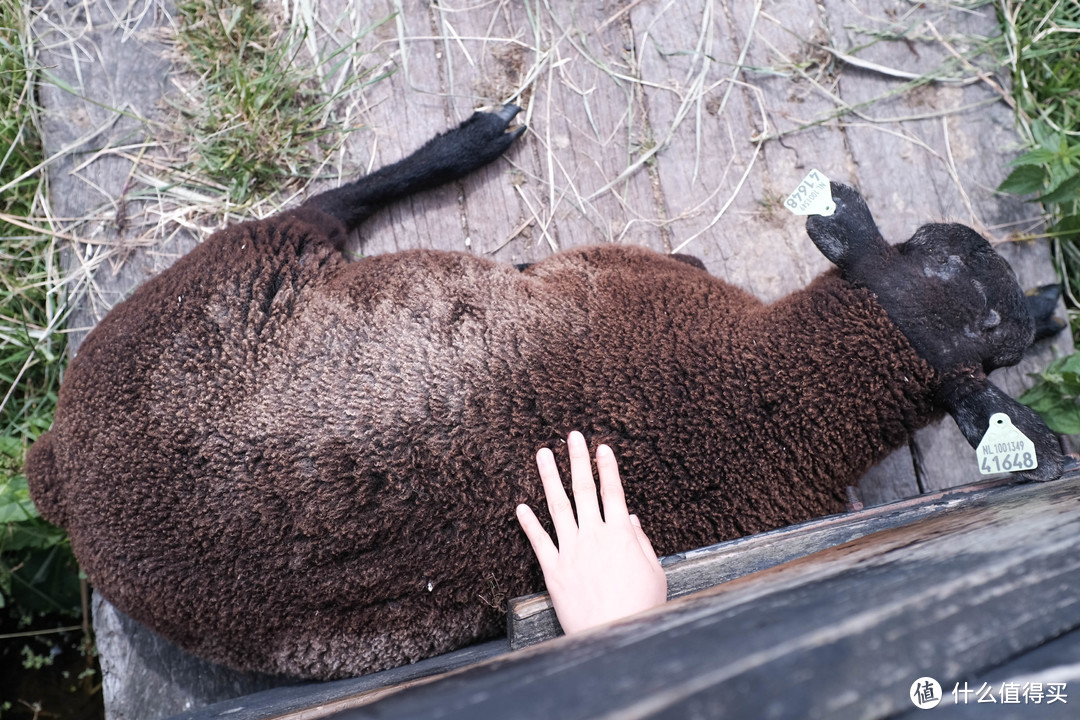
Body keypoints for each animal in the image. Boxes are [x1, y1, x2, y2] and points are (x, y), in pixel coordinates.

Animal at [25, 106, 1062, 682]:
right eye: (927, 242)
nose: (1038, 303)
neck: (772, 387)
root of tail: (61, 471)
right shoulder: (626, 268)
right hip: (237, 269)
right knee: (322, 206)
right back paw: (472, 138)